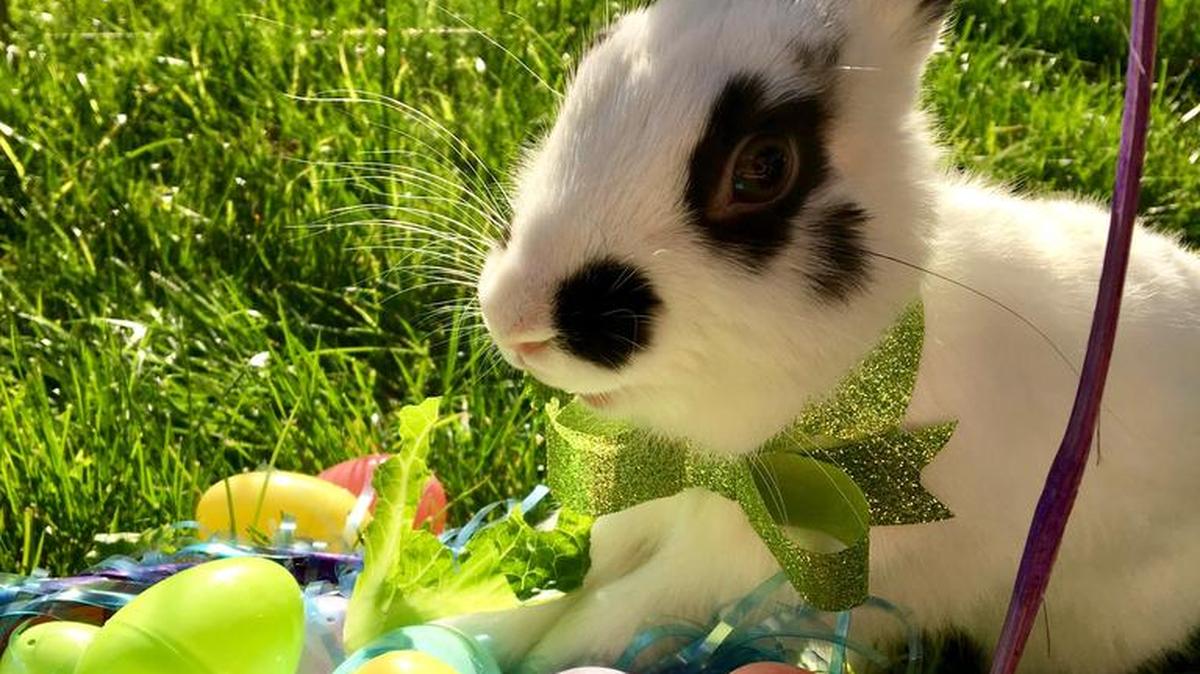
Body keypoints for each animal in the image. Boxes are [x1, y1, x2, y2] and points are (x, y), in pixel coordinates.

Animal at [462, 0, 1200, 672]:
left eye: (763, 166)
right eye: (595, 64)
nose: (513, 319)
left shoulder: (738, 572)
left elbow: (615, 616)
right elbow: (578, 571)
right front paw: (482, 621)